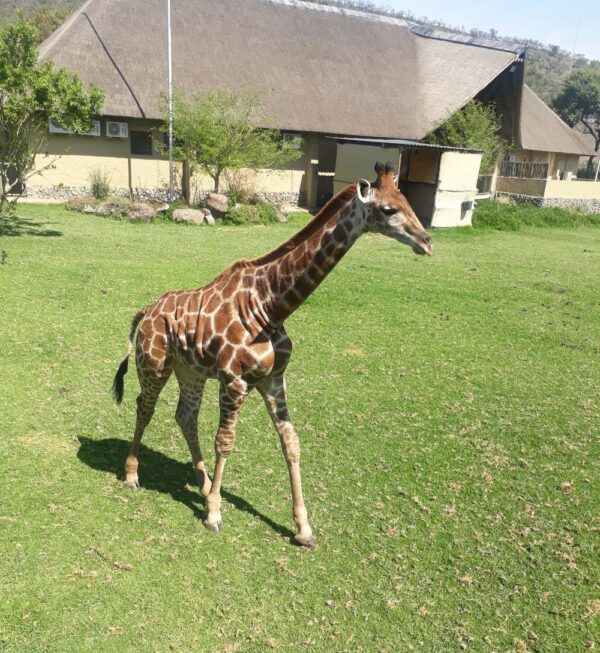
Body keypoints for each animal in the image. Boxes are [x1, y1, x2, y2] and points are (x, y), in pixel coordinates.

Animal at [112, 160, 432, 548]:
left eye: (407, 201)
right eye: (388, 209)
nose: (427, 242)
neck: (270, 306)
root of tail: (145, 311)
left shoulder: (273, 379)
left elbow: (291, 443)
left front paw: (303, 529)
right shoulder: (234, 380)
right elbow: (225, 443)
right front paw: (214, 515)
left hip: (191, 370)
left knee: (184, 416)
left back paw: (203, 486)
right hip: (154, 363)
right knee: (145, 408)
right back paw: (133, 476)